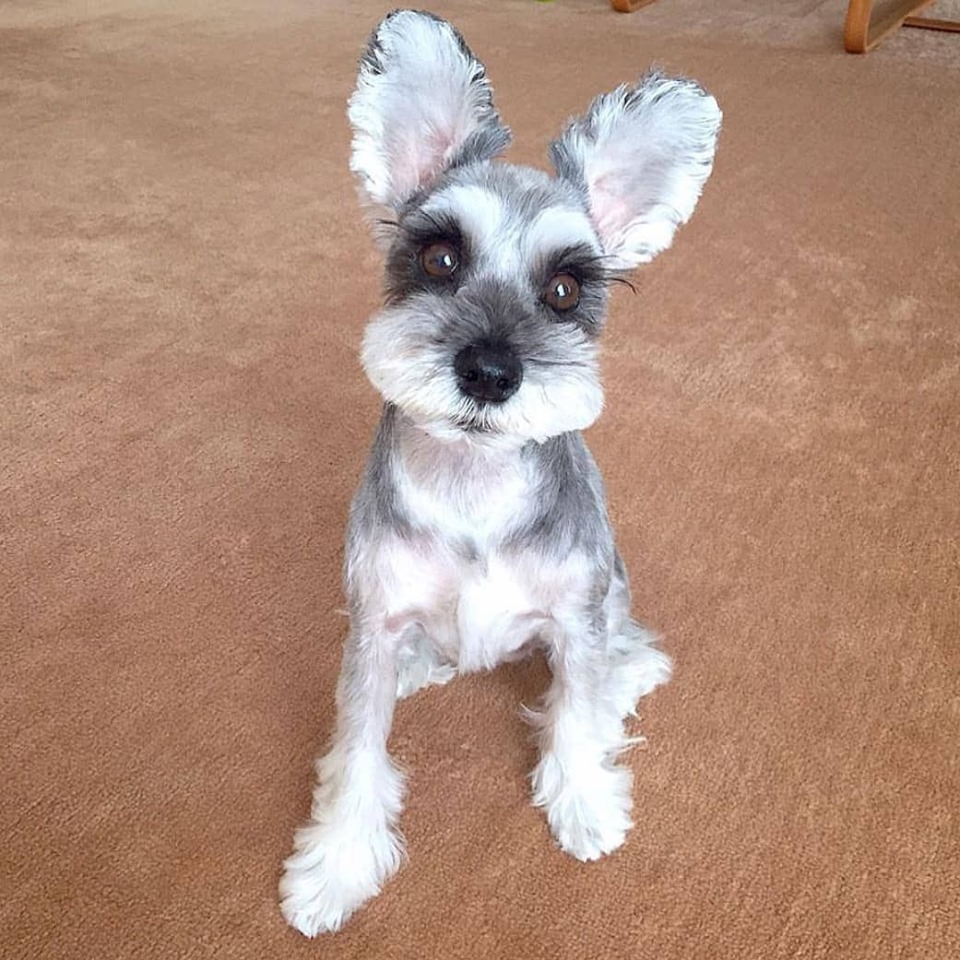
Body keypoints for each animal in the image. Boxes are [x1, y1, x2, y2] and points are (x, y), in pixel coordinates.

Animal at [278, 7, 720, 936]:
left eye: (564, 289)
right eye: (440, 258)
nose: (488, 372)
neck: (473, 491)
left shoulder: (576, 611)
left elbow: (575, 717)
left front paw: (584, 803)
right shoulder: (374, 624)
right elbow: (356, 752)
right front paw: (334, 867)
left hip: (609, 593)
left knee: (613, 662)